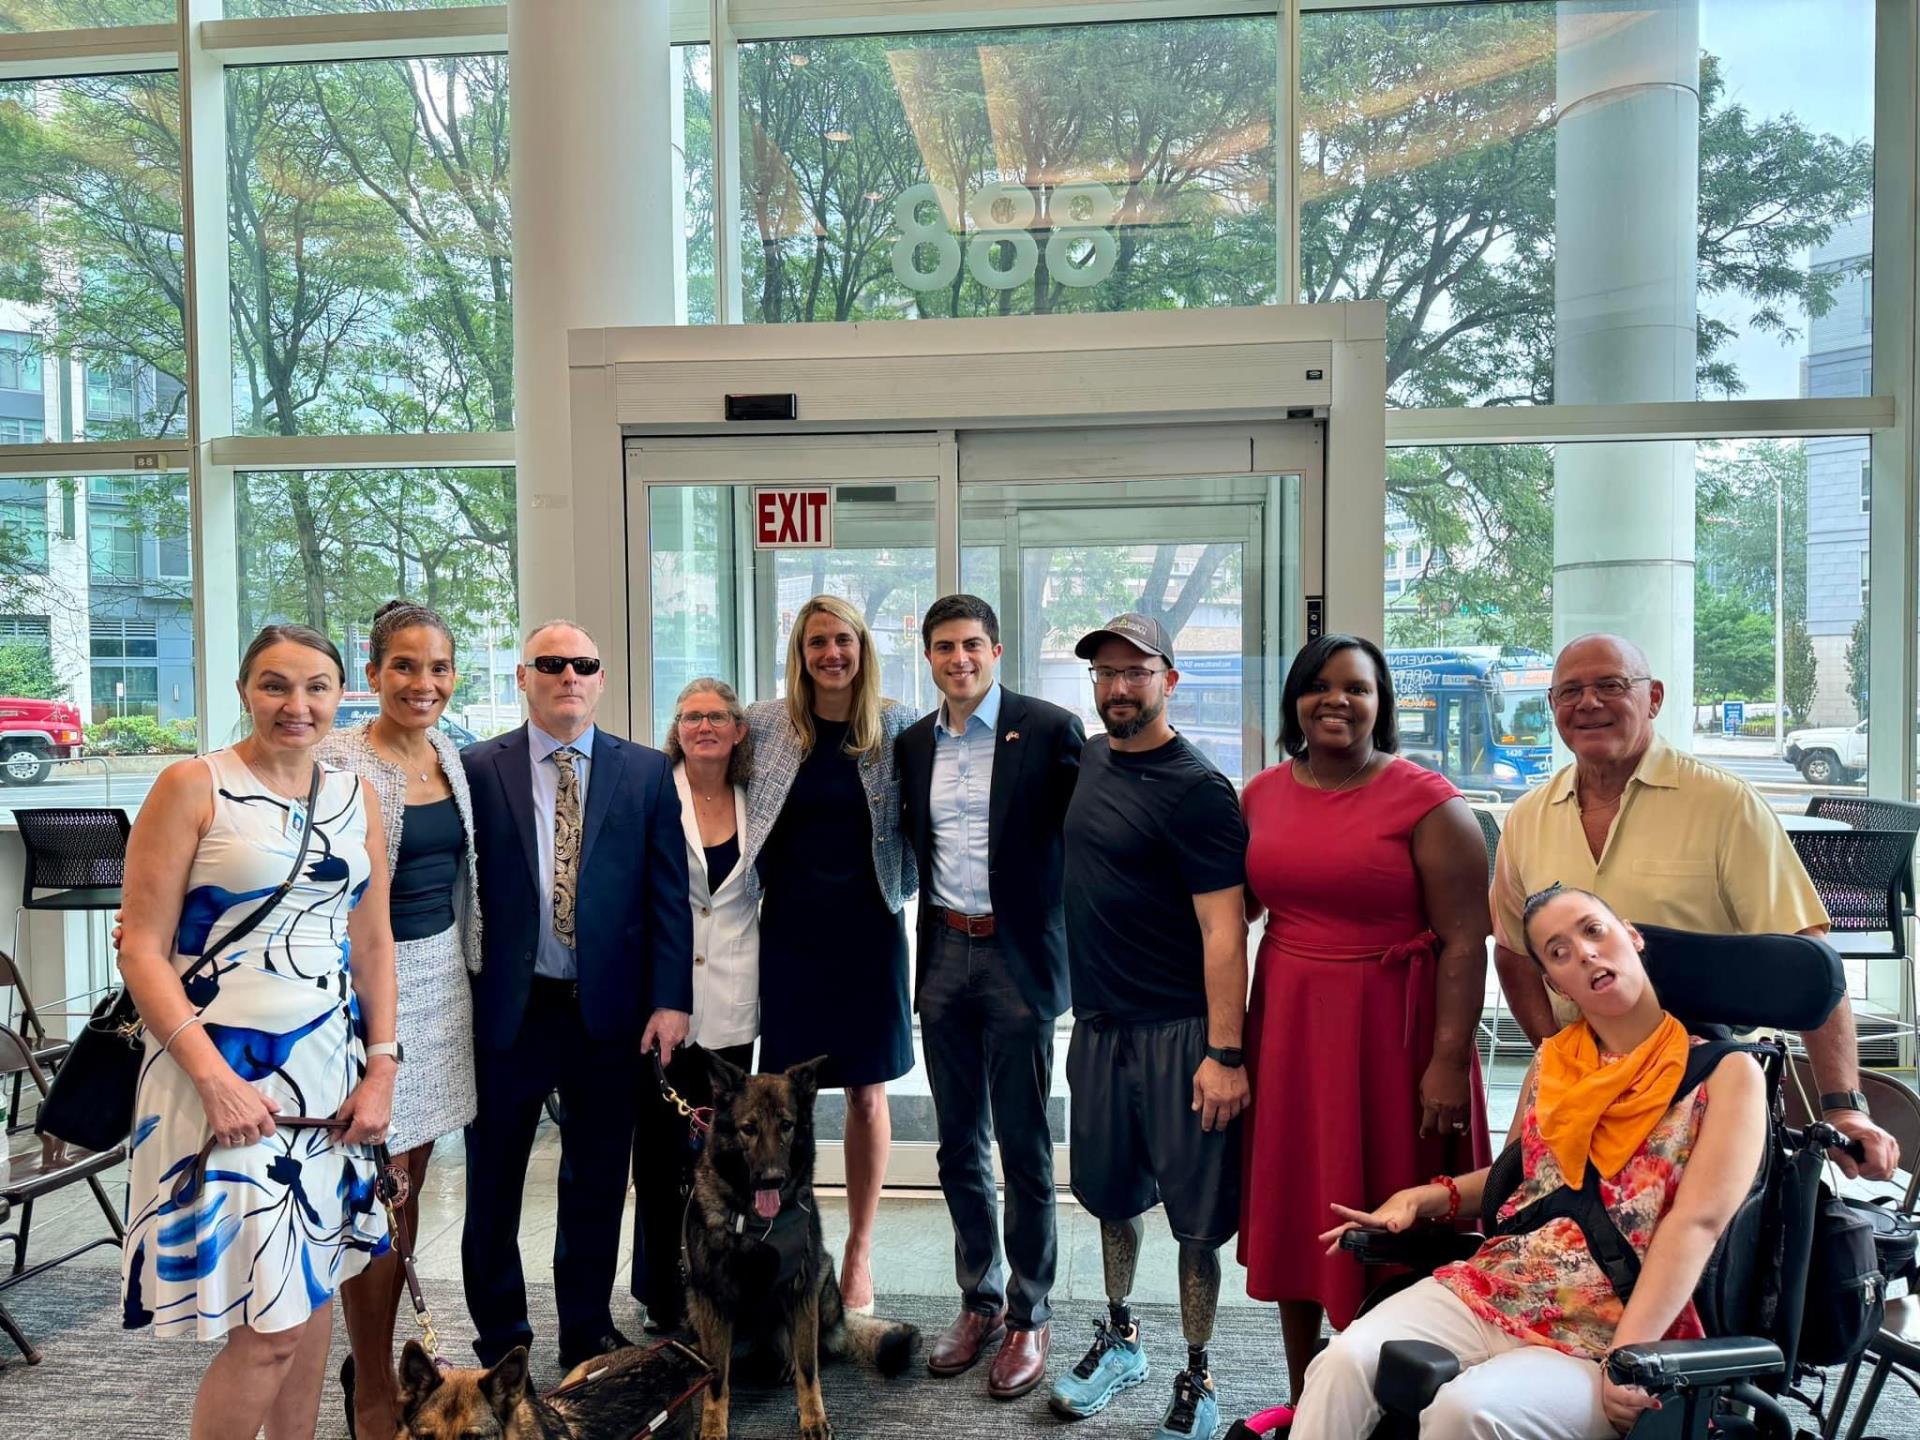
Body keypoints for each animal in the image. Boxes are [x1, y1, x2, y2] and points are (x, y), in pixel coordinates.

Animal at [687, 1052, 917, 1440]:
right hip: (693, 1299)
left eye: (786, 1125)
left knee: (809, 1346)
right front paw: (713, 1426)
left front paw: (813, 1419)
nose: (772, 1178)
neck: (757, 1224)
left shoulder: (801, 1290)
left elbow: (810, 1369)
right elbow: (717, 1380)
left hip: (822, 1278)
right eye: (748, 1128)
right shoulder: (713, 1298)